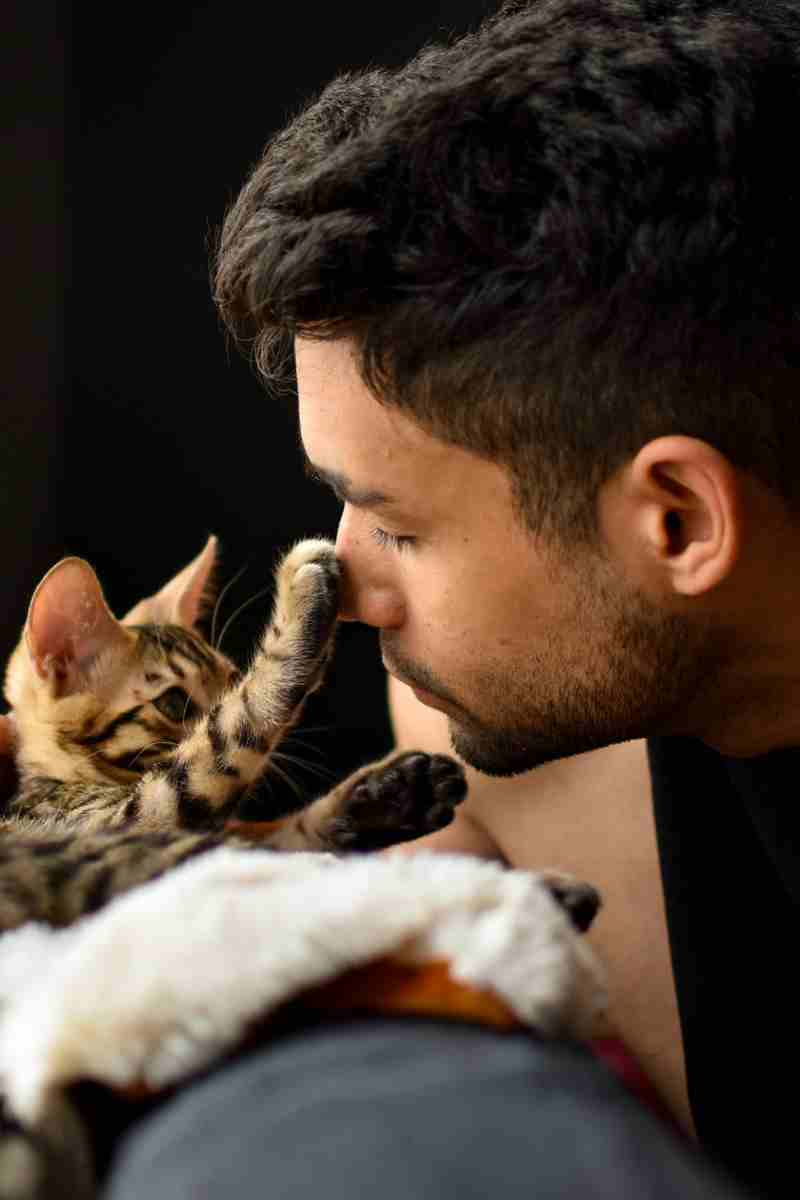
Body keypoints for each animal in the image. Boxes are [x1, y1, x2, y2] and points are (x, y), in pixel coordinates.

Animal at [0, 540, 465, 931]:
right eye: (175, 703)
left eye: (228, 679)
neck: (59, 776)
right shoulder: (132, 816)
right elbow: (229, 732)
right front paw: (300, 607)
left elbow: (281, 837)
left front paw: (393, 793)